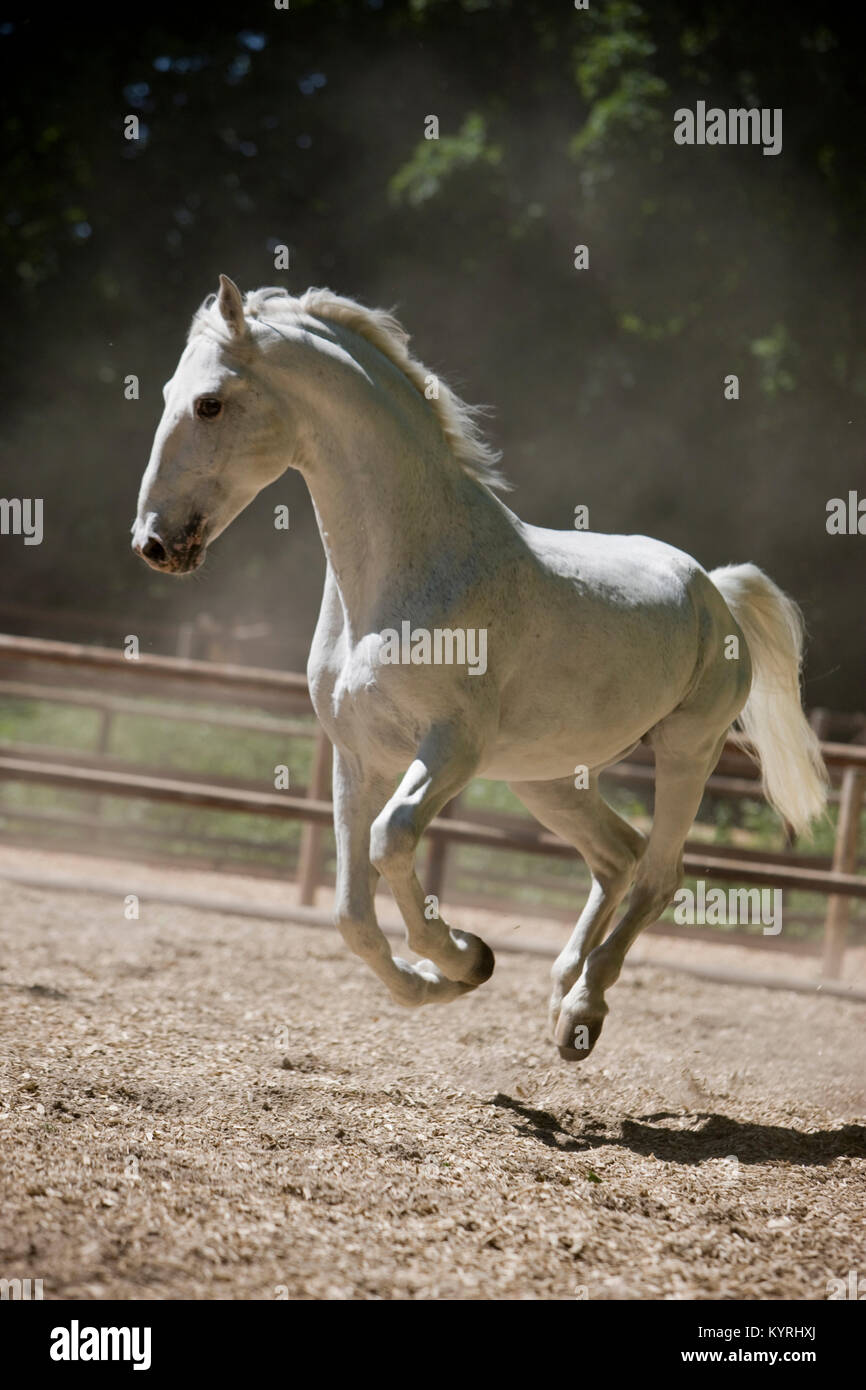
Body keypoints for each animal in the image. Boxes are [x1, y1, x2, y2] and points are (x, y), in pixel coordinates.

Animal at [132, 279, 828, 1061]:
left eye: (210, 403)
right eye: (169, 392)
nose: (154, 542)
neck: (405, 575)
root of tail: (714, 588)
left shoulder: (451, 748)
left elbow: (392, 840)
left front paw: (465, 953)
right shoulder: (357, 757)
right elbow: (350, 914)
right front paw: (442, 980)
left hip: (686, 751)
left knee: (658, 874)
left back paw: (583, 1010)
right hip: (545, 778)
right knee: (617, 857)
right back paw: (562, 993)